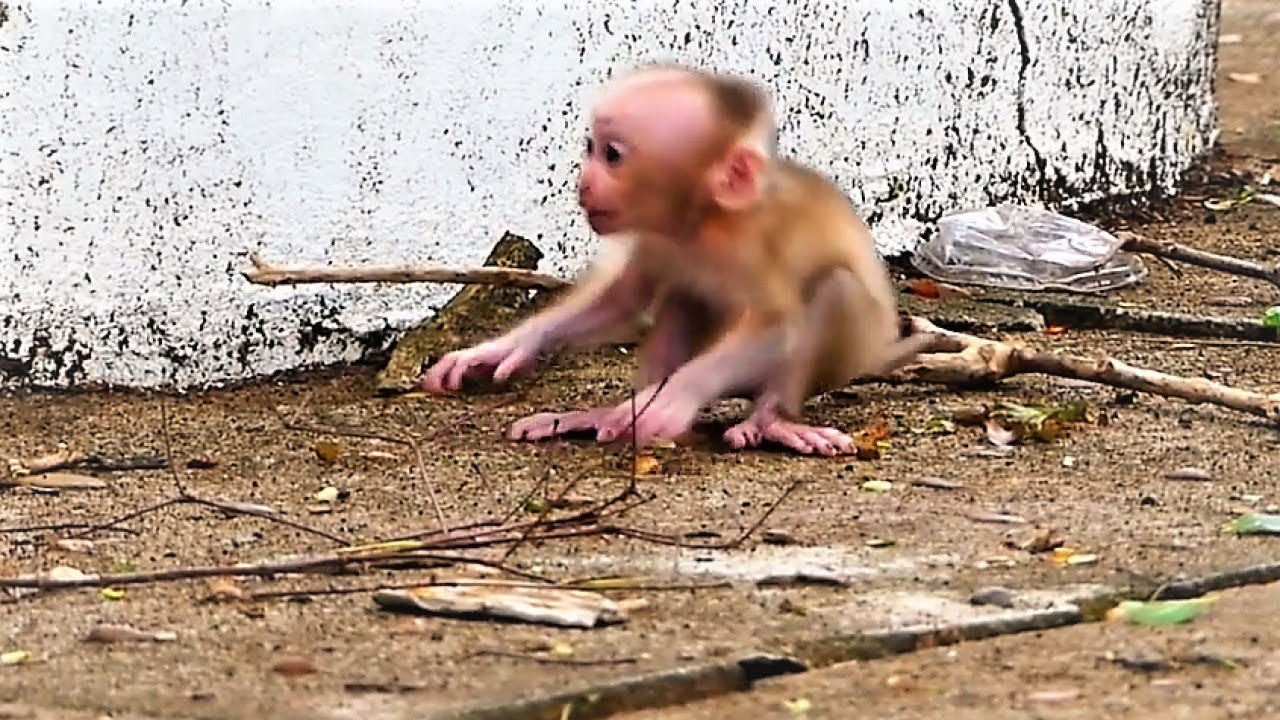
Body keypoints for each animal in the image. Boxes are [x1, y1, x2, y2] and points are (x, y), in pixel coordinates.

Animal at [418, 64, 935, 456]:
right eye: (590, 147)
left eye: (612, 154)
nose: (584, 182)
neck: (699, 221)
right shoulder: (654, 235)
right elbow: (623, 300)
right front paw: (501, 349)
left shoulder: (750, 243)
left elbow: (776, 323)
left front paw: (671, 399)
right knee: (684, 296)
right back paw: (600, 416)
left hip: (840, 357)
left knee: (833, 288)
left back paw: (773, 420)